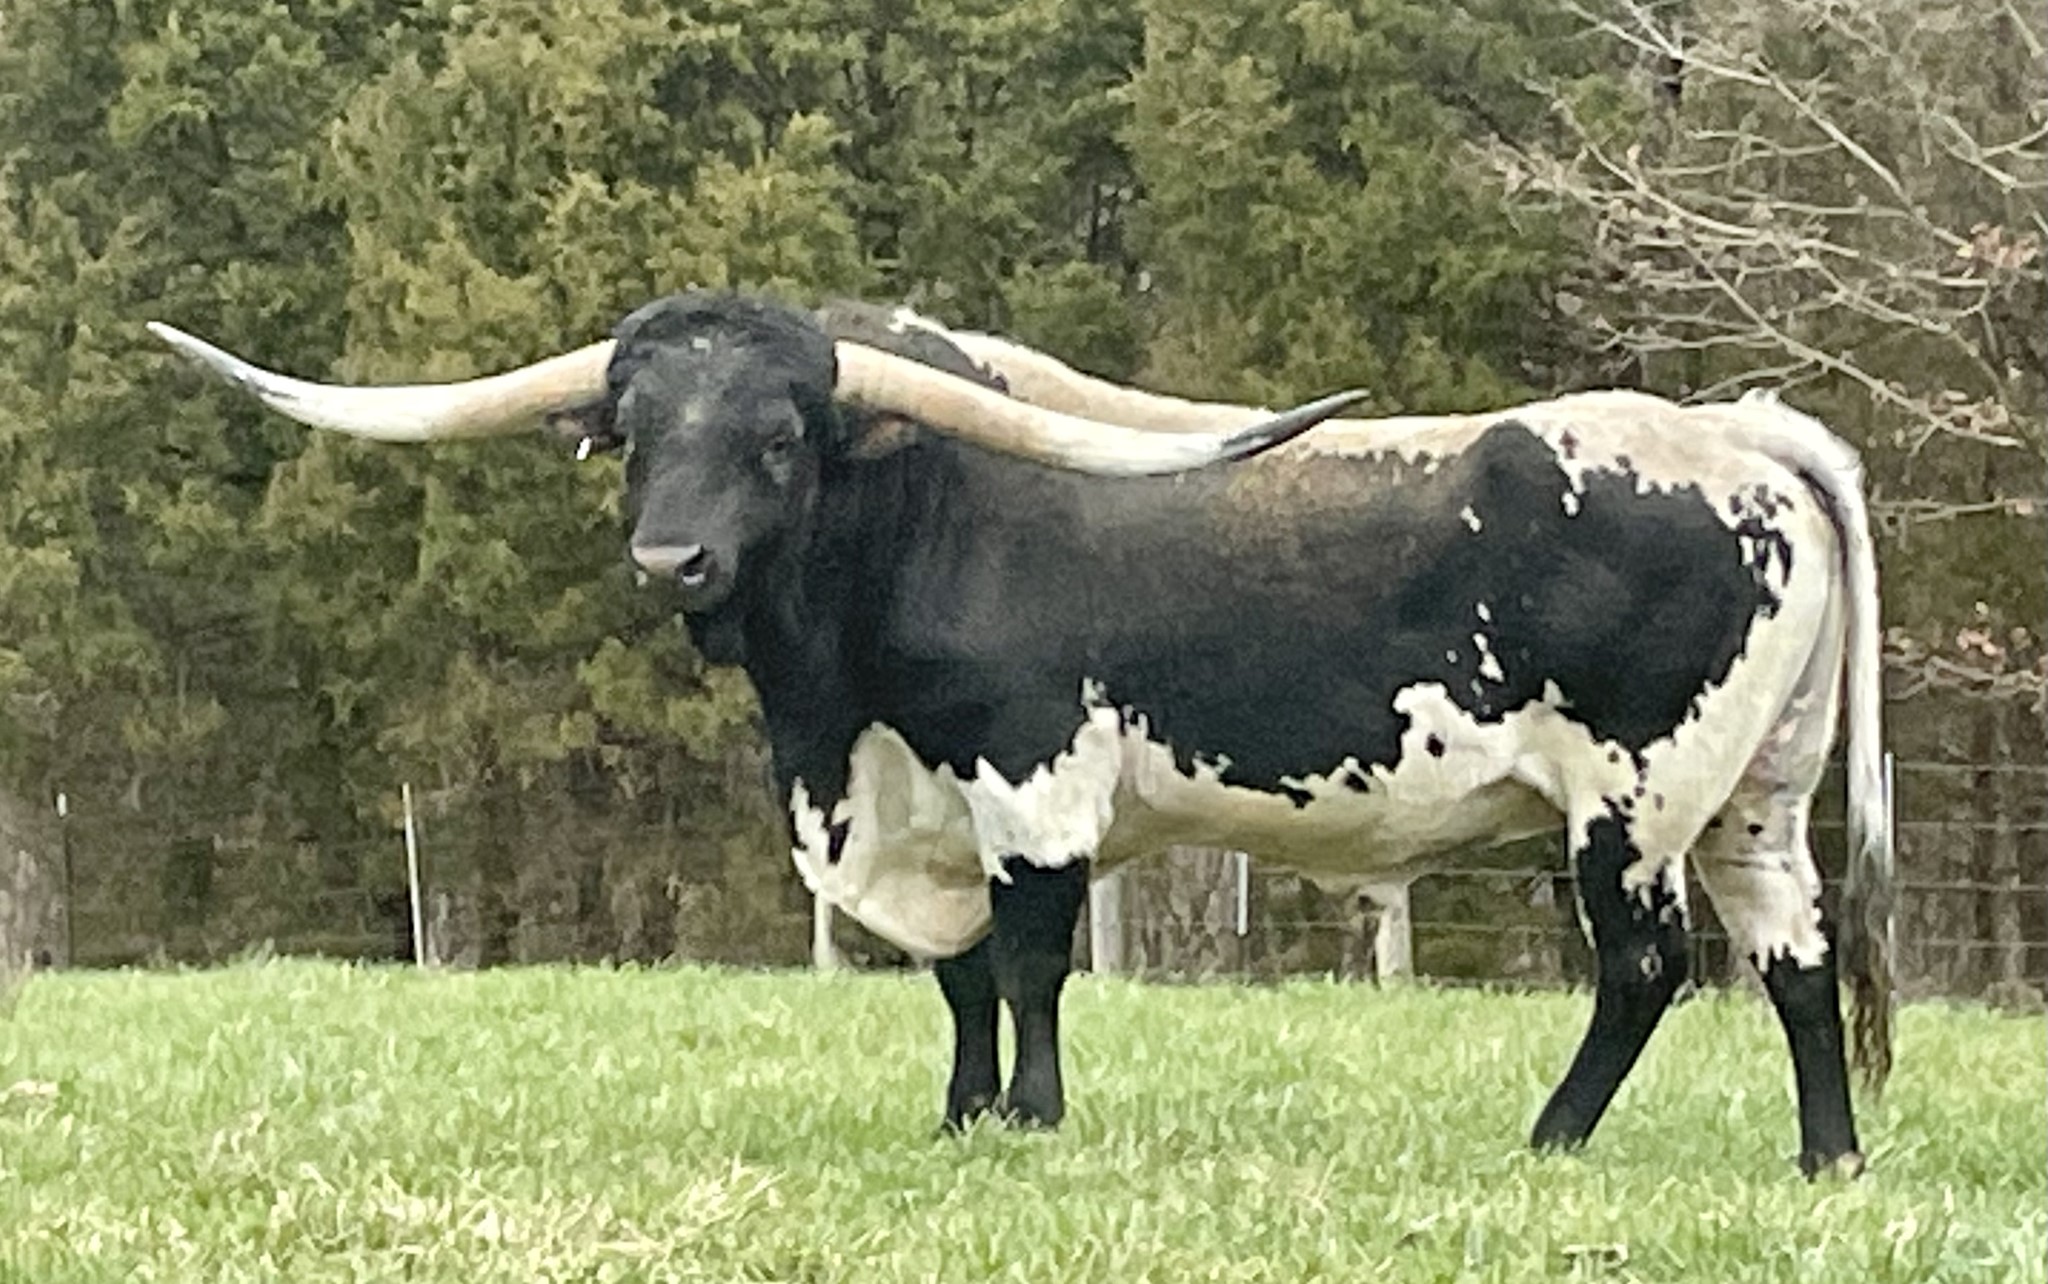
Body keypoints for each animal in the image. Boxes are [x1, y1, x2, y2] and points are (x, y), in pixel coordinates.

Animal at [152, 289, 1893, 1177]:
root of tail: (1739, 434)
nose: (673, 561)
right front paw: (961, 1113)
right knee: (1799, 962)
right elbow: (961, 972)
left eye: (781, 438)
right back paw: (1828, 1159)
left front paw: (1034, 1123)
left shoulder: (1033, 778)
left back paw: (1548, 1142)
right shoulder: (919, 811)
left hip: (1634, 801)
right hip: (1756, 799)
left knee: (1648, 967)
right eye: (634, 435)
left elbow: (1037, 957)